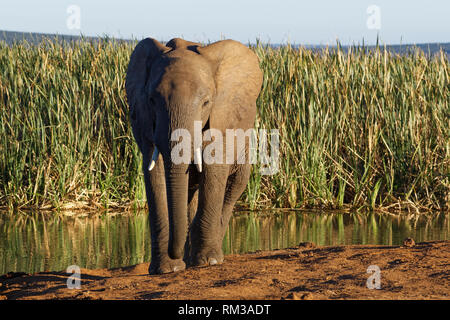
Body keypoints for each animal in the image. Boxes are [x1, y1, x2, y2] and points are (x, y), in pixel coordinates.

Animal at [125, 36, 264, 274]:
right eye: (152, 100)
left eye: (206, 102)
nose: (175, 254)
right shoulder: (144, 120)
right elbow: (155, 172)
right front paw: (166, 269)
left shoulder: (221, 116)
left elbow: (214, 168)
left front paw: (208, 262)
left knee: (234, 185)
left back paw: (211, 255)